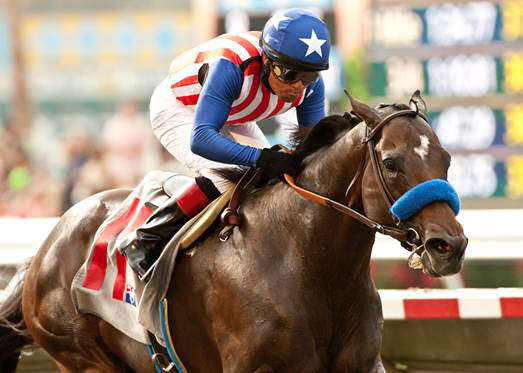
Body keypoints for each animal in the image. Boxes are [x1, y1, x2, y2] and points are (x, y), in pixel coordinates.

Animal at [0, 91, 466, 372]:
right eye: (391, 162)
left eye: (445, 158)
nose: (449, 245)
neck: (309, 264)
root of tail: (46, 246)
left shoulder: (364, 362)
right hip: (83, 356)